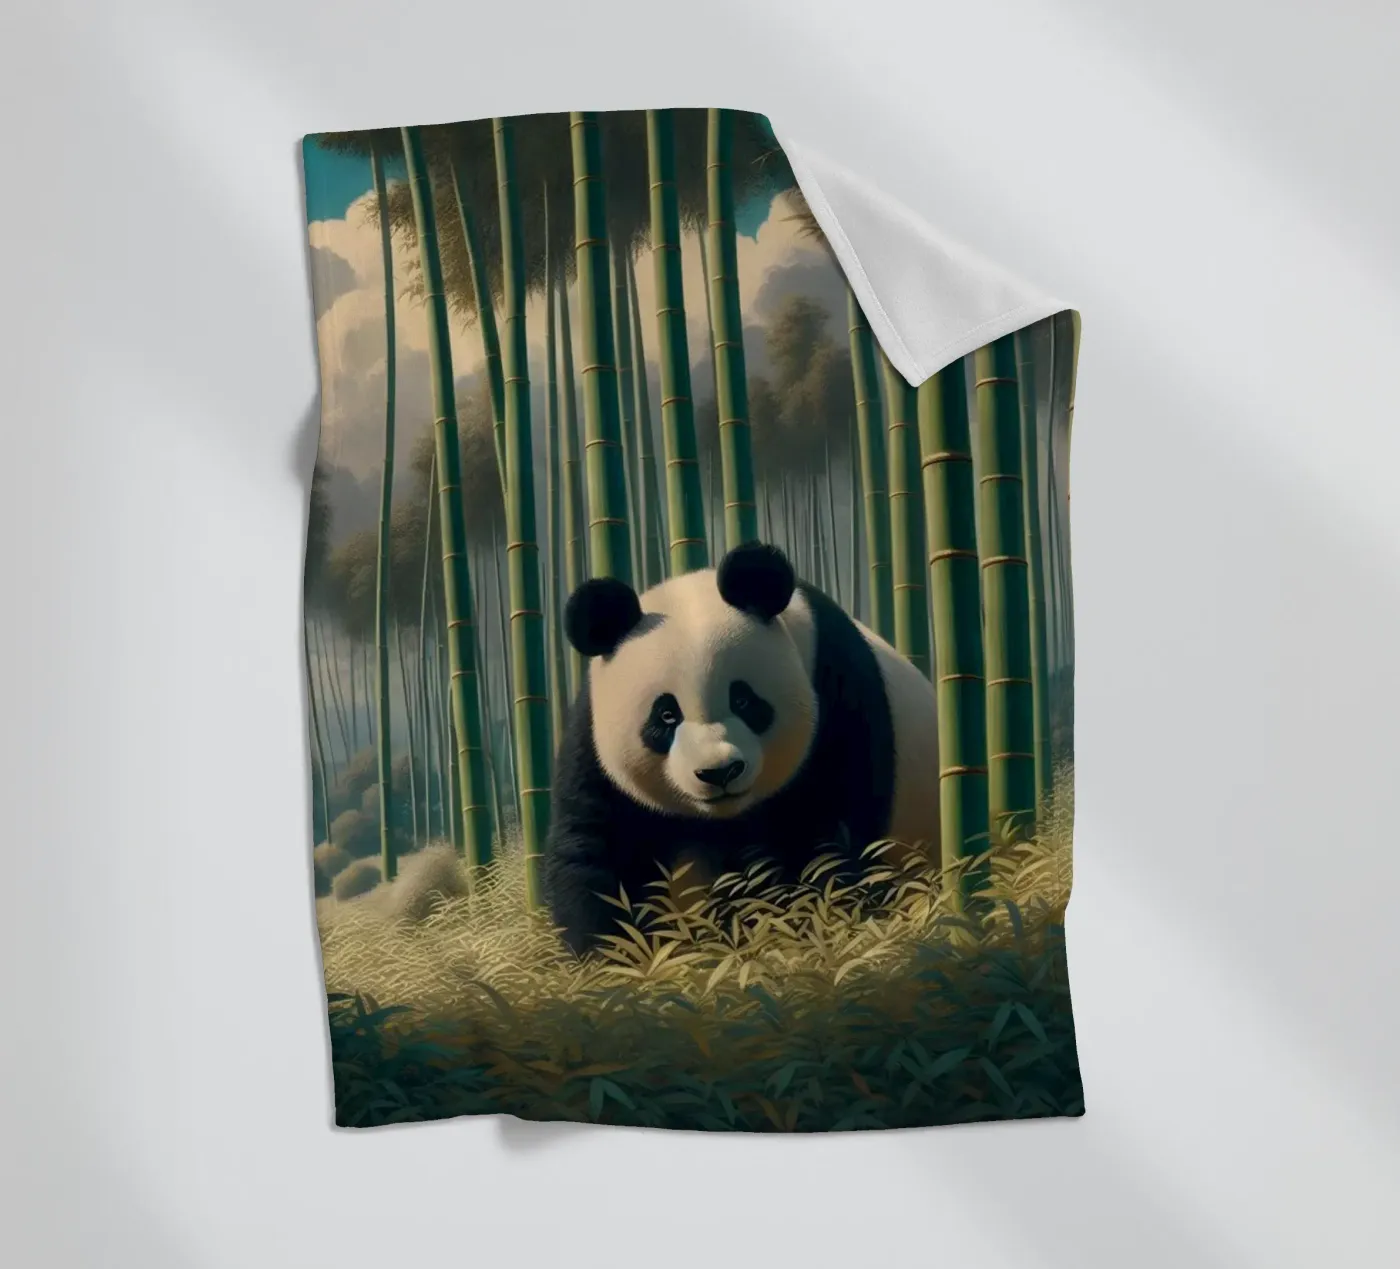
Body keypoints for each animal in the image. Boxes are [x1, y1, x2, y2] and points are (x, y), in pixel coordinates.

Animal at [545, 542, 940, 954]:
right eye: (666, 715)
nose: (719, 772)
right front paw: (618, 954)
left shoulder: (837, 691)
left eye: (744, 701)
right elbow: (597, 846)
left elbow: (829, 831)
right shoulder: (593, 740)